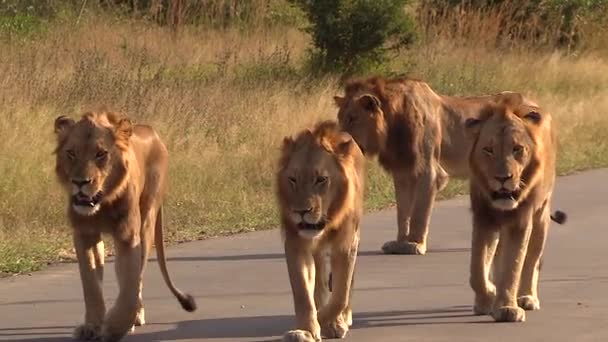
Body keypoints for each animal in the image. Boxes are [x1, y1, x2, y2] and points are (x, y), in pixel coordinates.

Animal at [276, 121, 366, 342]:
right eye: (293, 179)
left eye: (321, 179)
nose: (301, 211)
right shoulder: (296, 245)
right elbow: (302, 292)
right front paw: (307, 329)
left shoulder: (346, 244)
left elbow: (341, 294)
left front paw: (329, 322)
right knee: (320, 281)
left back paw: (342, 318)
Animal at [334, 76, 544, 255]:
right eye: (340, 118)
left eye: (352, 118)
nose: (336, 141)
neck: (392, 127)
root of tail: (536, 104)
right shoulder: (403, 171)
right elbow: (403, 211)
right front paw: (399, 243)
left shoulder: (429, 171)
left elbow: (419, 212)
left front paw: (415, 244)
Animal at [464, 103, 568, 322]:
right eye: (488, 150)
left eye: (517, 149)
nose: (503, 178)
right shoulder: (484, 218)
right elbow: (477, 269)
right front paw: (488, 298)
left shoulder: (520, 221)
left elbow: (514, 264)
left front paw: (506, 309)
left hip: (541, 218)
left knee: (532, 261)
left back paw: (527, 297)